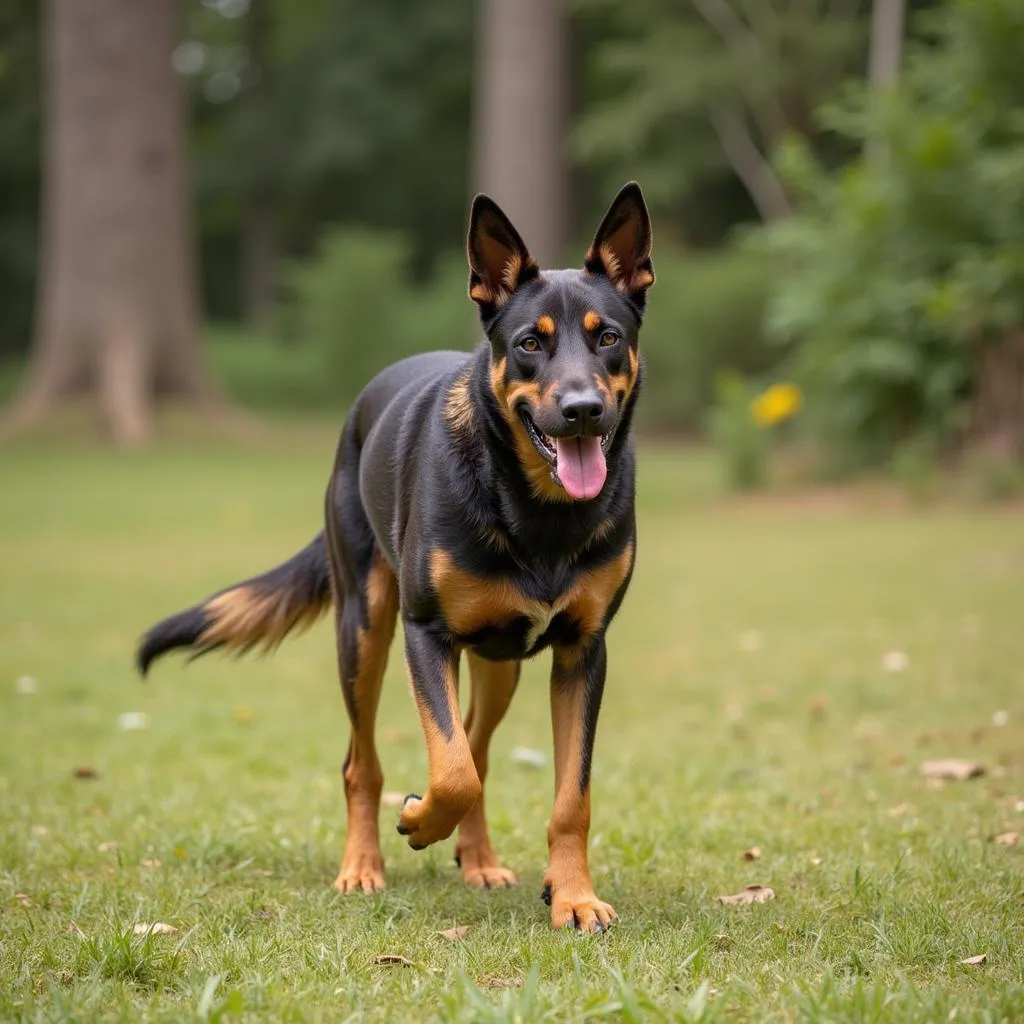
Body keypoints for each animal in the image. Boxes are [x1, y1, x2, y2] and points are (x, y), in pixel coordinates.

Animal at [136, 180, 655, 933]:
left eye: (608, 338)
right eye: (530, 344)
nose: (584, 410)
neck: (536, 509)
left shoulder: (584, 651)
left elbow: (565, 796)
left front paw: (574, 897)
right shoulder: (425, 633)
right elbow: (452, 770)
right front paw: (418, 820)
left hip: (498, 665)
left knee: (478, 743)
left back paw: (478, 860)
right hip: (363, 629)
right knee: (367, 762)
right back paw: (363, 866)